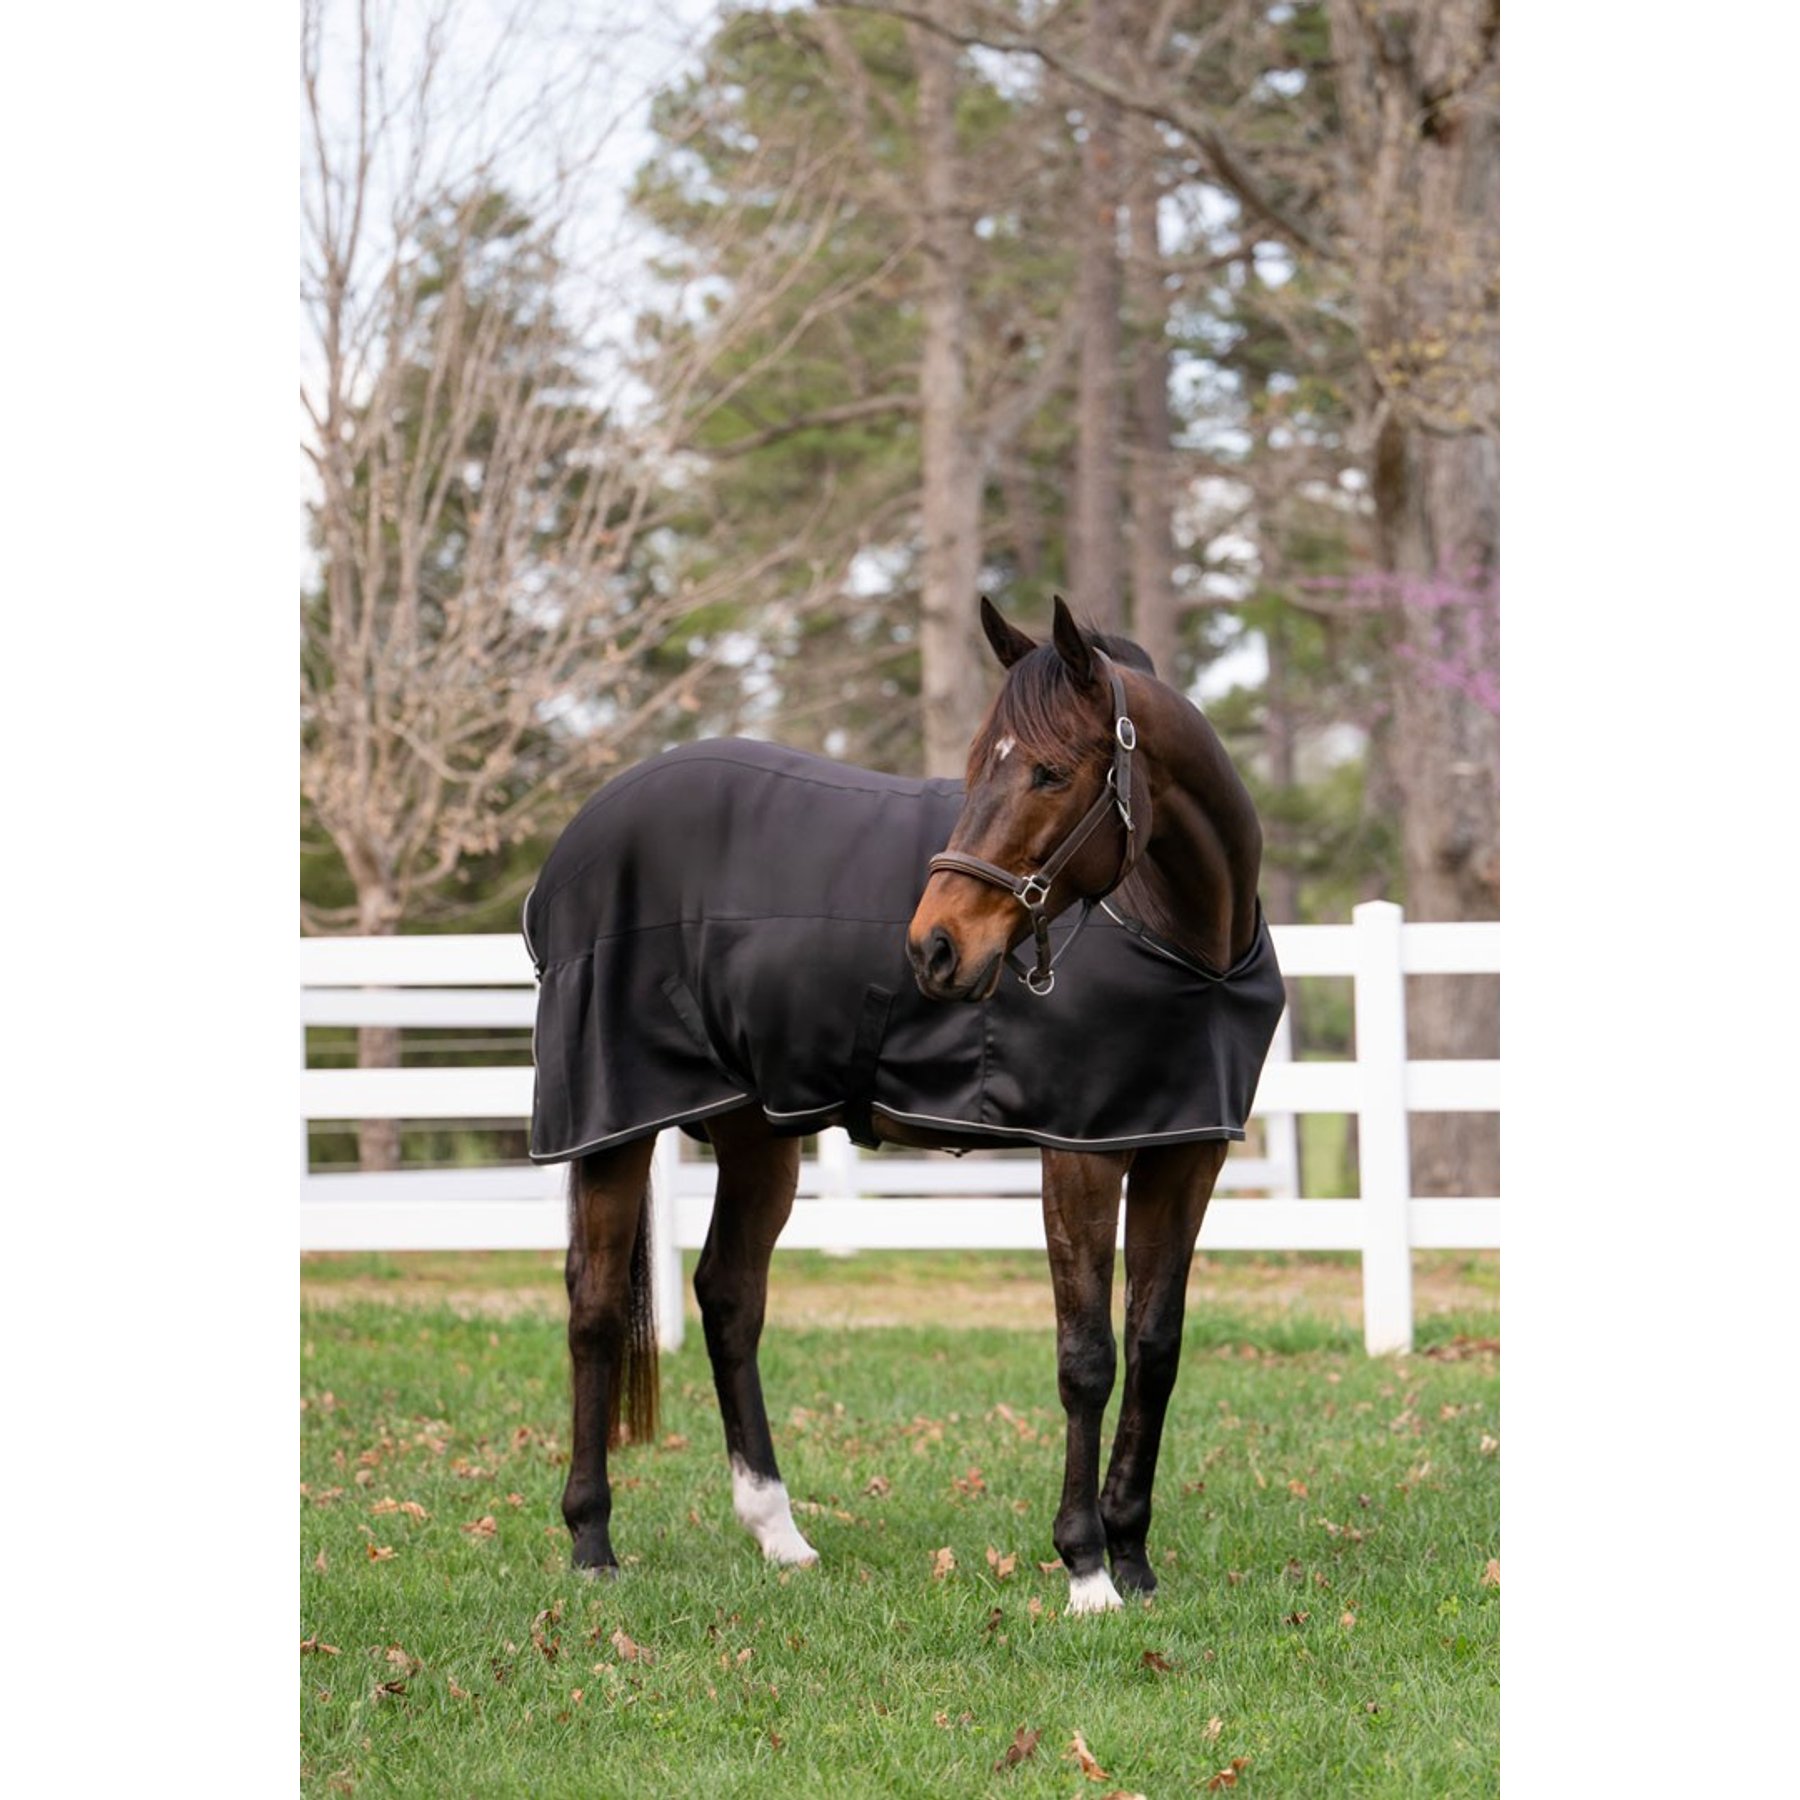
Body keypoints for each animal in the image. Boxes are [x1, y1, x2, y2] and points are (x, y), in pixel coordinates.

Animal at [522, 595, 1283, 1614]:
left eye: (1049, 771)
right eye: (974, 766)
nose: (935, 948)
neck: (1181, 935)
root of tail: (578, 842)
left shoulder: (1183, 1150)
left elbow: (1154, 1349)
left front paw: (1134, 1558)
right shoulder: (1081, 1155)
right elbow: (1086, 1358)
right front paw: (1086, 1571)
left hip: (756, 1132)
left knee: (729, 1296)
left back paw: (779, 1533)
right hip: (613, 1130)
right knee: (597, 1304)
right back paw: (592, 1541)